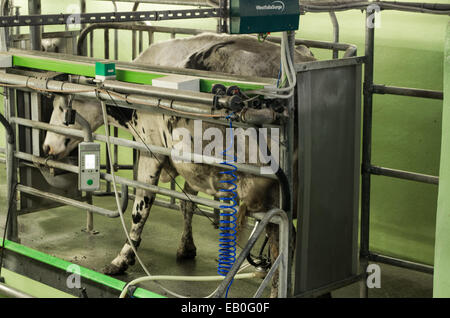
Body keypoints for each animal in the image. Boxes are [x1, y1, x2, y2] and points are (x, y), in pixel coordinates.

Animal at [42, 33, 316, 298]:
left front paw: (122, 258)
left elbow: (141, 208)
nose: (46, 147)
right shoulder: (192, 164)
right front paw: (186, 247)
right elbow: (187, 203)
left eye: (61, 107)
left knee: (282, 240)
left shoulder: (151, 149)